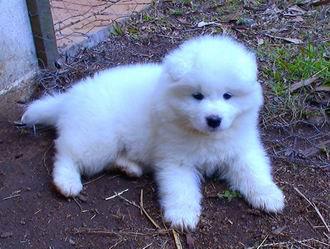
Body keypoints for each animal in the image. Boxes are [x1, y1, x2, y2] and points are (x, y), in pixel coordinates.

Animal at [21, 35, 284, 230]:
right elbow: (180, 187)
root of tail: (69, 97)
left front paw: (269, 195)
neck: (205, 136)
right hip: (97, 138)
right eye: (197, 96)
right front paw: (182, 215)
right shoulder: (176, 160)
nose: (214, 120)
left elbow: (254, 172)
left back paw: (129, 167)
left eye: (228, 95)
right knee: (66, 153)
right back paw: (67, 182)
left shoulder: (242, 149)